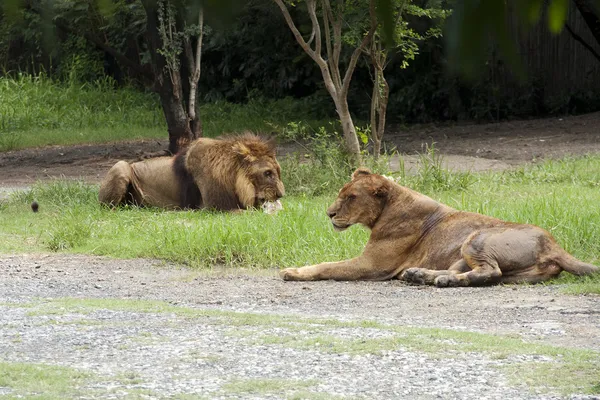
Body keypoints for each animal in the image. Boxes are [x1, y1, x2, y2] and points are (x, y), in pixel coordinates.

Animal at [282, 167, 600, 286]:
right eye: (341, 192)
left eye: (351, 197)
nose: (329, 213)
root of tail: (555, 245)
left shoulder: (372, 265)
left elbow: (327, 266)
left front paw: (293, 272)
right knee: (473, 272)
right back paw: (419, 275)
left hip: (477, 237)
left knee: (488, 272)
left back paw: (438, 280)